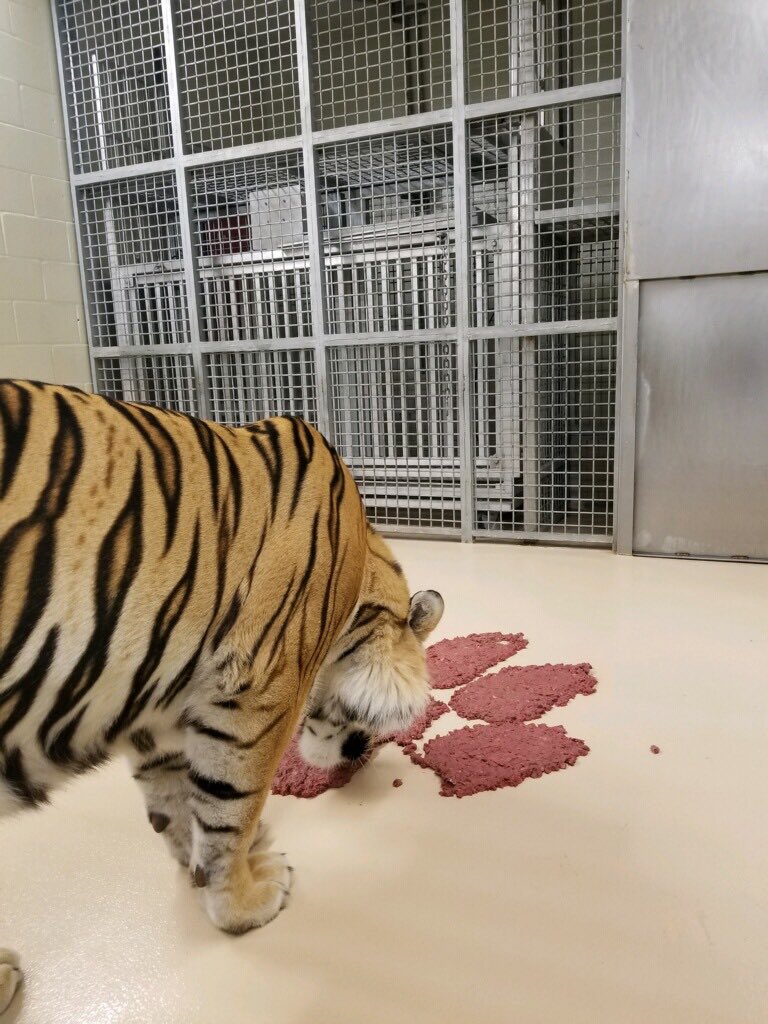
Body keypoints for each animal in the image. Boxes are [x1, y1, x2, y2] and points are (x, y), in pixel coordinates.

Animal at [0, 379, 444, 1014]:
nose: (357, 756)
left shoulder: (157, 720)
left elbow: (179, 805)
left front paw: (201, 870)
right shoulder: (256, 699)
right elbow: (230, 808)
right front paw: (243, 902)